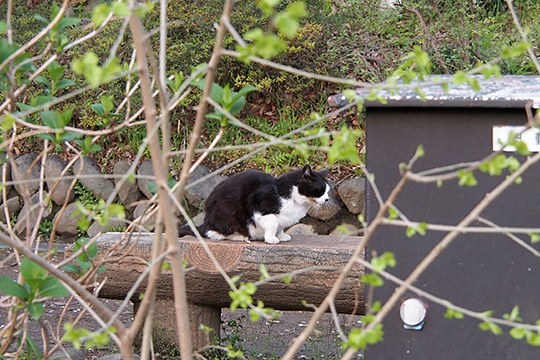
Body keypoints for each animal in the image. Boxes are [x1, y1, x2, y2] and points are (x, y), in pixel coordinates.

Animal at [180, 166, 330, 245]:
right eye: (321, 190)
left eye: (328, 190)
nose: (327, 199)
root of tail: (205, 223)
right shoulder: (258, 207)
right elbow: (273, 223)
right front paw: (271, 239)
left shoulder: (283, 218)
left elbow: (280, 226)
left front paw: (281, 236)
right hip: (227, 214)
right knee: (216, 234)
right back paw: (241, 237)